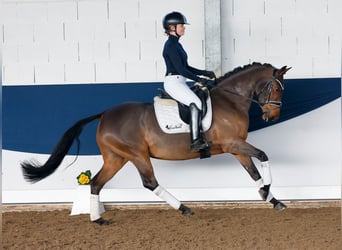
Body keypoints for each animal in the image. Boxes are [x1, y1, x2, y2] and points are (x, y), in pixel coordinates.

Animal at [21, 62, 290, 225]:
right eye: (277, 89)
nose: (273, 117)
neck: (230, 100)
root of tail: (105, 114)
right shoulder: (233, 144)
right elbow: (263, 156)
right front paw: (267, 192)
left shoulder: (236, 148)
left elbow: (254, 172)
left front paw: (272, 199)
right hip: (137, 155)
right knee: (149, 182)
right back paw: (184, 208)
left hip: (116, 157)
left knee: (96, 182)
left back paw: (98, 219)